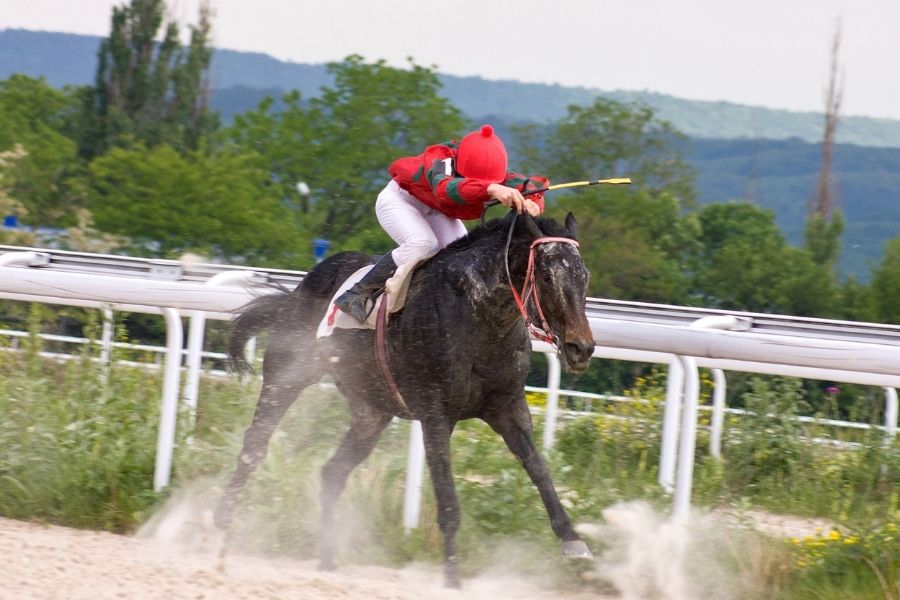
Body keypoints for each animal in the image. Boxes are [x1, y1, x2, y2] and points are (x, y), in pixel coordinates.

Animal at [213, 210, 596, 584]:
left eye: (585, 277)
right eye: (546, 277)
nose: (582, 348)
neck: (481, 315)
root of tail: (299, 290)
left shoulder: (507, 406)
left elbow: (539, 467)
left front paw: (573, 540)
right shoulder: (436, 414)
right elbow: (447, 496)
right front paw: (452, 576)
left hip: (371, 412)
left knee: (333, 471)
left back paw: (327, 557)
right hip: (287, 376)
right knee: (254, 446)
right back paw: (221, 525)